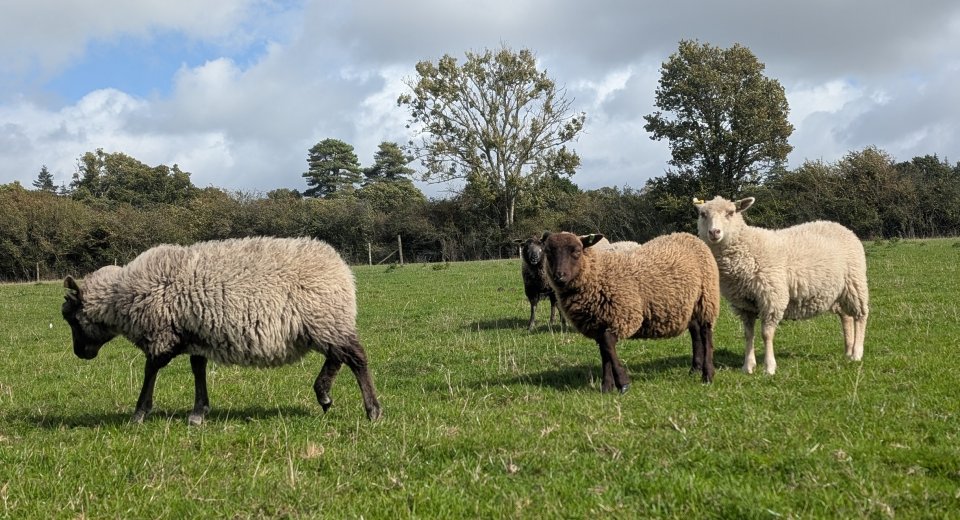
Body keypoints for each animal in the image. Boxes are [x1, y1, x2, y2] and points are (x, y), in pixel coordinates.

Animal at [61, 236, 382, 424]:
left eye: (71, 318)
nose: (79, 354)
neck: (123, 297)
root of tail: (340, 267)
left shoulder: (162, 334)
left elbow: (151, 369)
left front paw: (139, 413)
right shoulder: (196, 332)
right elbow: (197, 368)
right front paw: (198, 412)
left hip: (324, 318)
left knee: (356, 357)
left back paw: (372, 410)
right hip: (324, 324)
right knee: (338, 356)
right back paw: (324, 394)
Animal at [542, 231, 721, 391]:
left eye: (577, 251)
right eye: (548, 252)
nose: (559, 276)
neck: (598, 273)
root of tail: (690, 236)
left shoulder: (625, 315)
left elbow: (607, 343)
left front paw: (622, 382)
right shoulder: (599, 322)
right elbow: (604, 351)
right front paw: (607, 386)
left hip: (707, 298)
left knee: (706, 334)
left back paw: (707, 374)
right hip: (689, 305)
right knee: (695, 331)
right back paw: (695, 368)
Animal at [694, 196, 869, 375]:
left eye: (731, 212)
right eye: (703, 214)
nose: (714, 232)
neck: (748, 249)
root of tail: (841, 227)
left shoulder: (772, 297)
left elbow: (766, 334)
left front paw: (769, 367)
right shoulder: (744, 305)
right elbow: (748, 334)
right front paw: (748, 366)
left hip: (855, 282)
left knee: (861, 315)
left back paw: (857, 353)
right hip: (838, 291)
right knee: (846, 317)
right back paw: (848, 351)